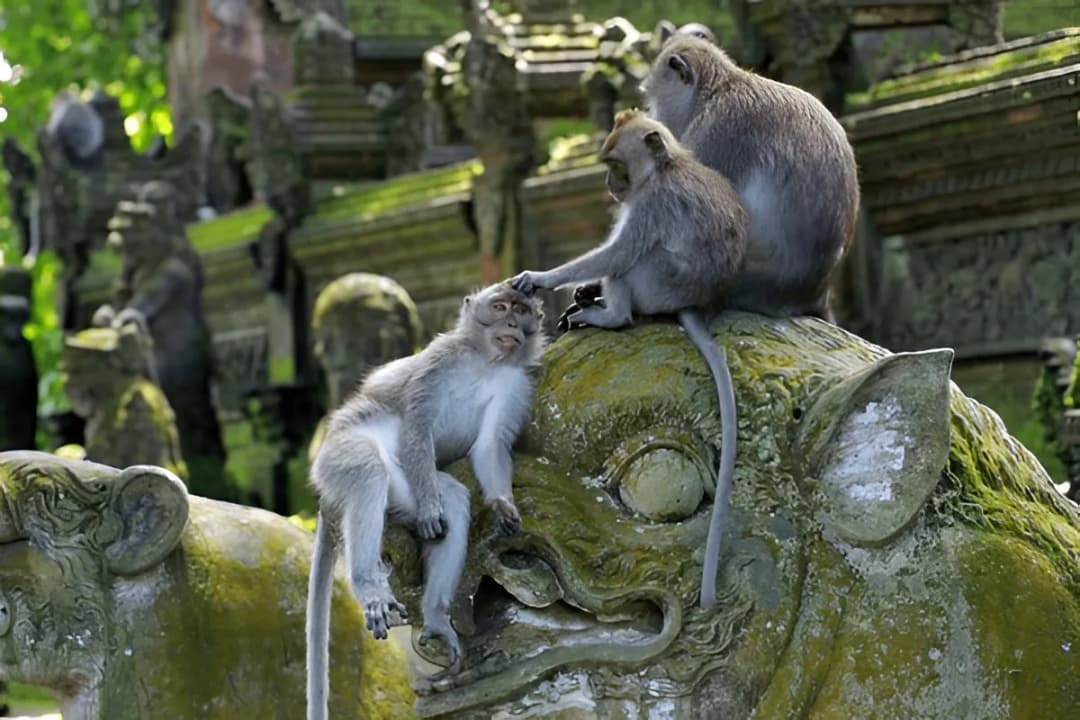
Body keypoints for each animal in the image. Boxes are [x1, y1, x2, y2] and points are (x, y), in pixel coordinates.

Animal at [306, 282, 546, 720]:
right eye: (500, 306)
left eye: (521, 311)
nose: (510, 324)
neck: (484, 361)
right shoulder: (439, 362)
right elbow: (417, 426)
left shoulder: (517, 383)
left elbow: (490, 445)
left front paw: (502, 504)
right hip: (340, 454)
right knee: (369, 472)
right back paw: (369, 585)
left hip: (407, 487)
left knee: (451, 496)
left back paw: (435, 616)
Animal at [509, 109, 747, 610]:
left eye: (616, 164)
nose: (609, 184)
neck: (665, 169)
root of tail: (693, 303)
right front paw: (577, 289)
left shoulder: (650, 205)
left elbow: (617, 252)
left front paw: (542, 278)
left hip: (656, 282)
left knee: (629, 261)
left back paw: (611, 314)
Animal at [641, 34, 860, 321]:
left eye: (654, 101)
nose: (654, 117)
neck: (715, 92)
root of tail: (817, 292)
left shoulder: (717, 131)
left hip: (742, 281)